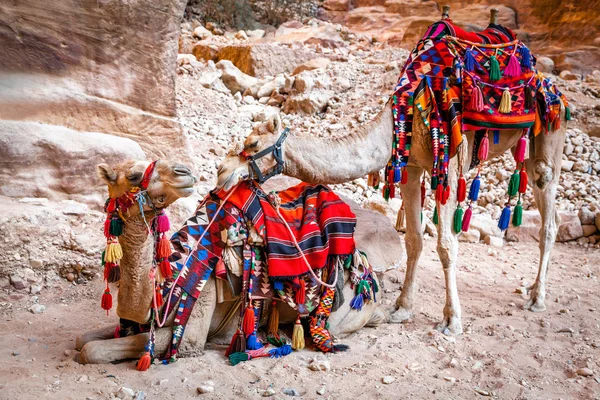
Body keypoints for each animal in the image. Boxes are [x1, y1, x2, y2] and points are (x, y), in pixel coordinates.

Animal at [76, 158, 384, 364]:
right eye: (133, 175)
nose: (183, 172)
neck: (169, 279)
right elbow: (85, 339)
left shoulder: (192, 330)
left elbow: (94, 351)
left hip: (344, 309)